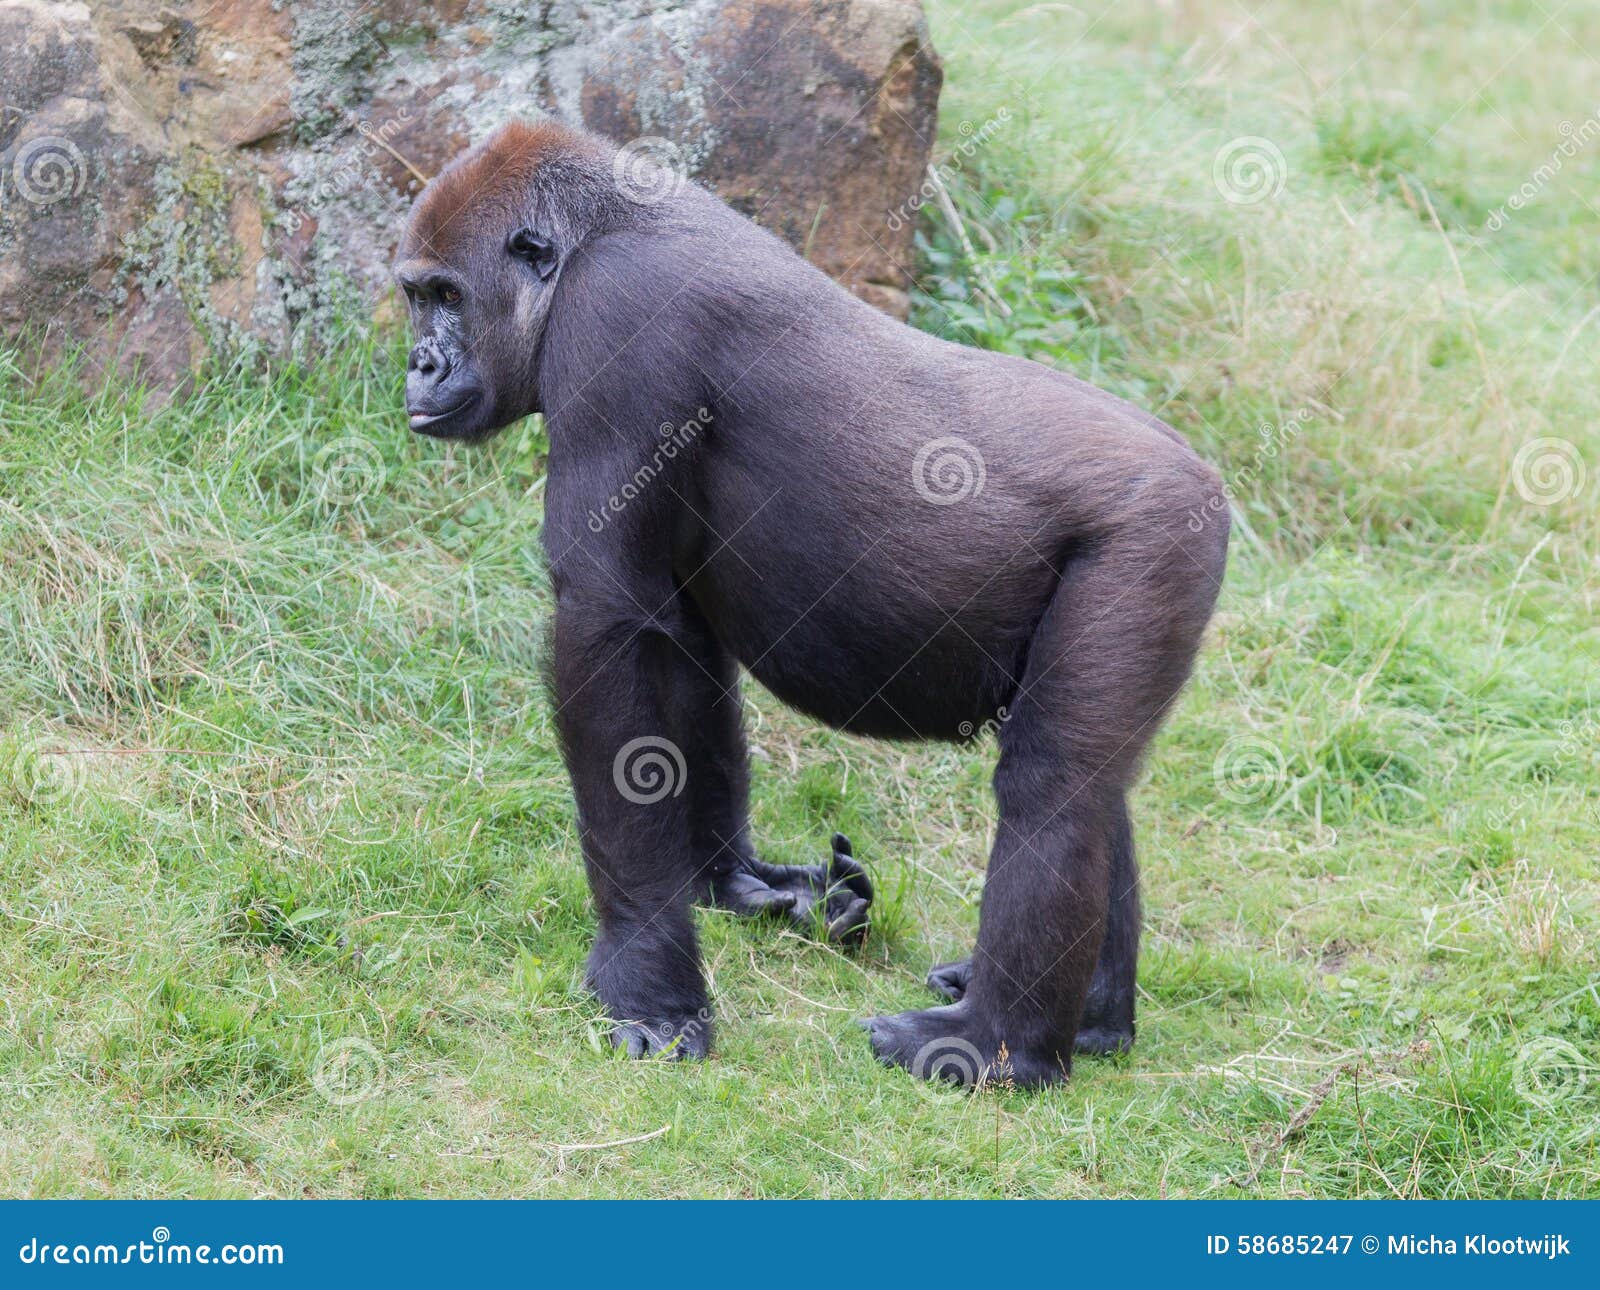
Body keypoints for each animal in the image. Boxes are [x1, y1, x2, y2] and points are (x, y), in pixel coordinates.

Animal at [394, 120, 1228, 1086]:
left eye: (447, 296)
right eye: (415, 297)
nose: (419, 361)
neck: (595, 237)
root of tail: (1208, 479)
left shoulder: (617, 326)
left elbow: (605, 626)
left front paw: (644, 976)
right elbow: (673, 650)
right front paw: (734, 885)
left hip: (1152, 539)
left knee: (1055, 787)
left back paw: (996, 1045)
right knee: (1099, 784)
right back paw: (1092, 1022)